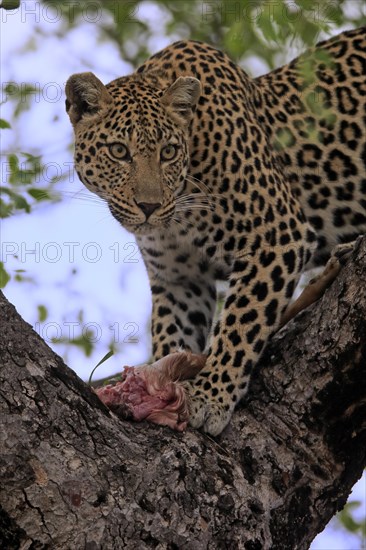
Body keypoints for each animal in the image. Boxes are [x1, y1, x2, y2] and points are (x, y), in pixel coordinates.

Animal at [66, 28, 366, 438]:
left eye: (168, 151)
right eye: (118, 151)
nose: (149, 206)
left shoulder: (276, 234)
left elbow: (240, 324)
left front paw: (211, 396)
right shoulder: (179, 279)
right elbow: (172, 334)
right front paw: (161, 387)